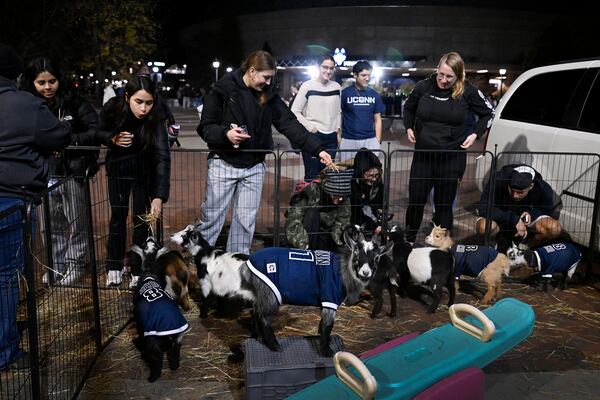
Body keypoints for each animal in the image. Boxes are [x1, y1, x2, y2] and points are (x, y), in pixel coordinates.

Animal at [130, 239, 189, 382]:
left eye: (145, 245)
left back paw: (152, 377)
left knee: (157, 359)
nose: (150, 238)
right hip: (178, 336)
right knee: (175, 351)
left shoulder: (142, 322)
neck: (150, 272)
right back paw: (174, 367)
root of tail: (171, 322)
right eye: (154, 244)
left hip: (153, 339)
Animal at [171, 225, 392, 356]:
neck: (342, 271)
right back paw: (274, 346)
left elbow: (322, 326)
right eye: (357, 253)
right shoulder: (330, 298)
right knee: (263, 317)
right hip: (270, 294)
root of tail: (247, 265)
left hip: (261, 295)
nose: (365, 272)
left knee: (257, 314)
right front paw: (326, 352)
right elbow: (327, 327)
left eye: (376, 257)